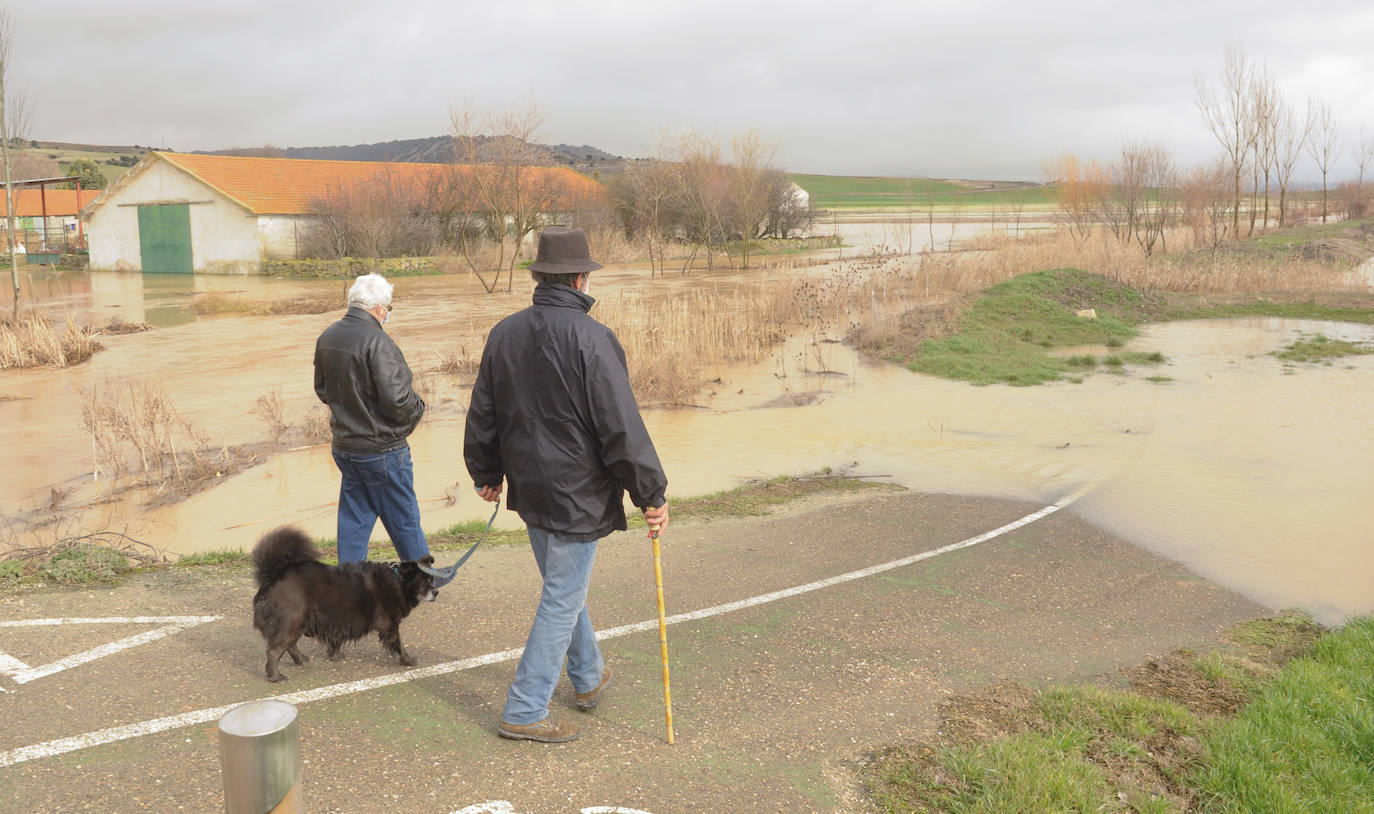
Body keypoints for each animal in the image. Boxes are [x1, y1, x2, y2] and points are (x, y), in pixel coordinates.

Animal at [250, 528, 436, 679]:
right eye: (426, 582)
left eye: (432, 580)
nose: (436, 592)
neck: (398, 581)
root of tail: (272, 577)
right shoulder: (389, 625)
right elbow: (399, 644)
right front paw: (408, 660)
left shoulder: (338, 622)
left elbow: (336, 640)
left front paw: (335, 655)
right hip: (292, 621)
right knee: (274, 650)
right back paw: (275, 676)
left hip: (295, 623)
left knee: (289, 645)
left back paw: (301, 660)